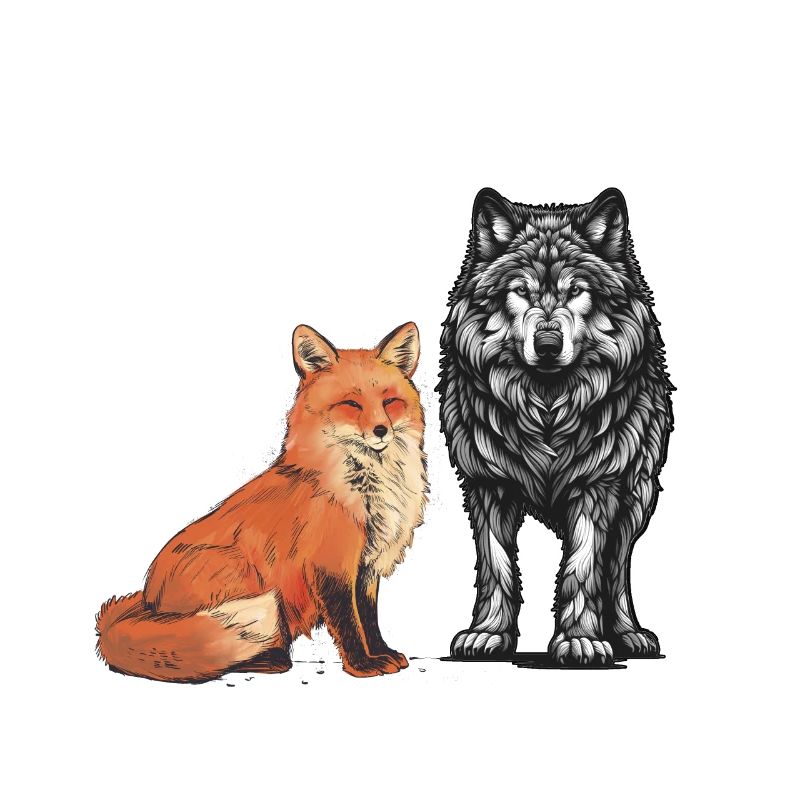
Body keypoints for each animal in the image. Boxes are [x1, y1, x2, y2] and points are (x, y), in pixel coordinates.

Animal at [96, 322, 428, 681]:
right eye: (351, 404)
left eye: (390, 401)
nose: (381, 430)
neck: (366, 486)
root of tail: (147, 600)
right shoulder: (331, 565)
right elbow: (348, 623)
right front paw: (362, 665)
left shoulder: (367, 566)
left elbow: (369, 619)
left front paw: (382, 653)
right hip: (244, 574)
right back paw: (268, 659)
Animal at [438, 187, 673, 665]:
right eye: (520, 290)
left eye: (576, 290)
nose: (547, 344)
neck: (548, 407)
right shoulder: (488, 484)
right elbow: (496, 563)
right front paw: (487, 633)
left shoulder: (597, 484)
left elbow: (584, 566)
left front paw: (581, 640)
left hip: (638, 497)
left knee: (617, 565)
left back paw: (629, 634)